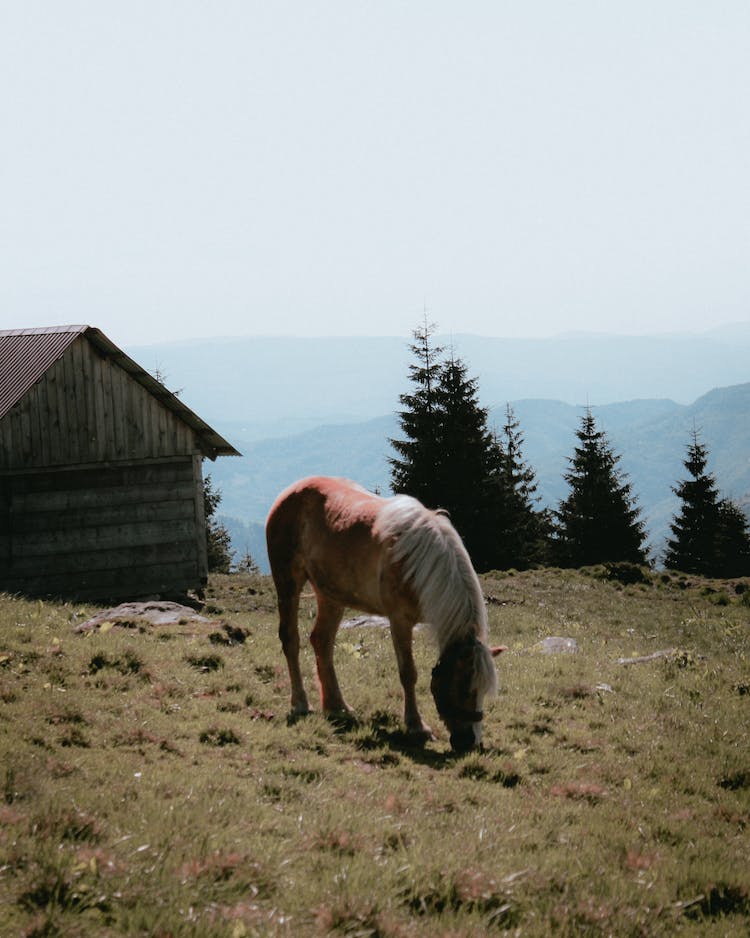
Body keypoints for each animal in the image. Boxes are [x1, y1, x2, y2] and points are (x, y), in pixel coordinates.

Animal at [264, 472, 506, 748]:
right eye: (465, 687)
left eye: (484, 690)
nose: (470, 743)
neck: (419, 564)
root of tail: (290, 491)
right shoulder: (399, 620)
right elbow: (408, 673)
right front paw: (416, 726)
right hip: (288, 582)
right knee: (291, 640)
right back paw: (301, 703)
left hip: (331, 595)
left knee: (322, 641)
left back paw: (338, 707)